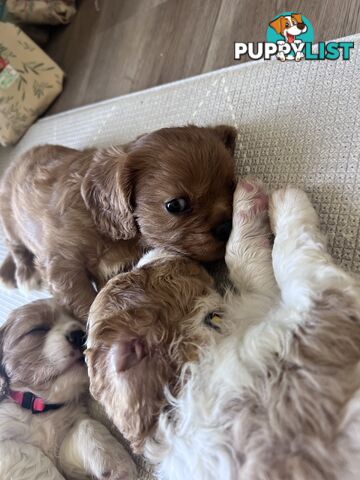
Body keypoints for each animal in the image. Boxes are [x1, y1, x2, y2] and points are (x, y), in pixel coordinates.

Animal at [0, 124, 236, 318]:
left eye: (232, 187)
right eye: (175, 205)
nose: (226, 227)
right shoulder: (63, 266)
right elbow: (86, 303)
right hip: (8, 218)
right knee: (15, 245)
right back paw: (23, 273)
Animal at [0, 300, 136, 480]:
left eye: (82, 322)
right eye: (37, 329)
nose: (80, 335)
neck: (44, 410)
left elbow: (86, 425)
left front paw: (119, 463)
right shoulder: (7, 445)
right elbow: (30, 455)